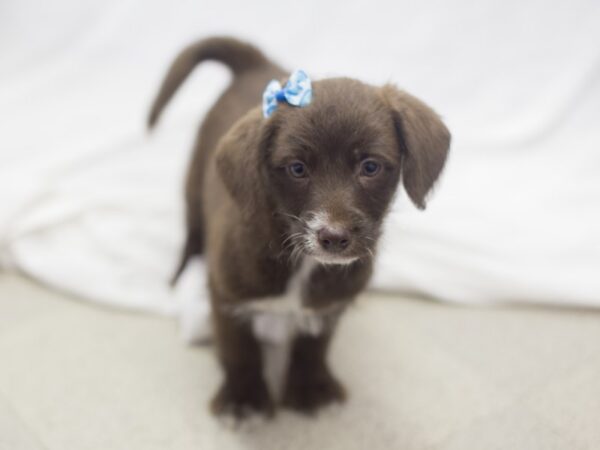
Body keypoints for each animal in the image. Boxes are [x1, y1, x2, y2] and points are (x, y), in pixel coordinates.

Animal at [149, 37, 450, 420]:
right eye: (297, 169)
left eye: (370, 167)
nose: (333, 237)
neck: (299, 260)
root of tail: (256, 63)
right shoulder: (226, 291)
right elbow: (239, 347)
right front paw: (243, 398)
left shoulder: (328, 304)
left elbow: (313, 345)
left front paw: (309, 388)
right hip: (193, 186)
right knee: (190, 236)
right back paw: (178, 276)